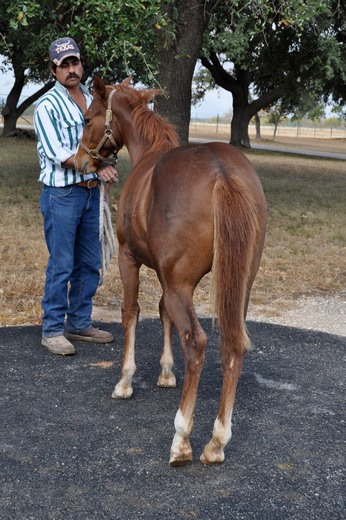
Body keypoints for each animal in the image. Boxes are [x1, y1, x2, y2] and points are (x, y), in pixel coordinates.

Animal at [74, 77, 266, 468]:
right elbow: (162, 313)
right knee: (232, 346)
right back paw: (217, 442)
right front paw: (165, 372)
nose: (81, 160)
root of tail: (222, 173)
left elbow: (132, 312)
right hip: (238, 287)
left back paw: (182, 440)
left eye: (88, 117)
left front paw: (125, 381)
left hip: (180, 284)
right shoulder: (167, 277)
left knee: (197, 343)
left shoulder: (130, 259)